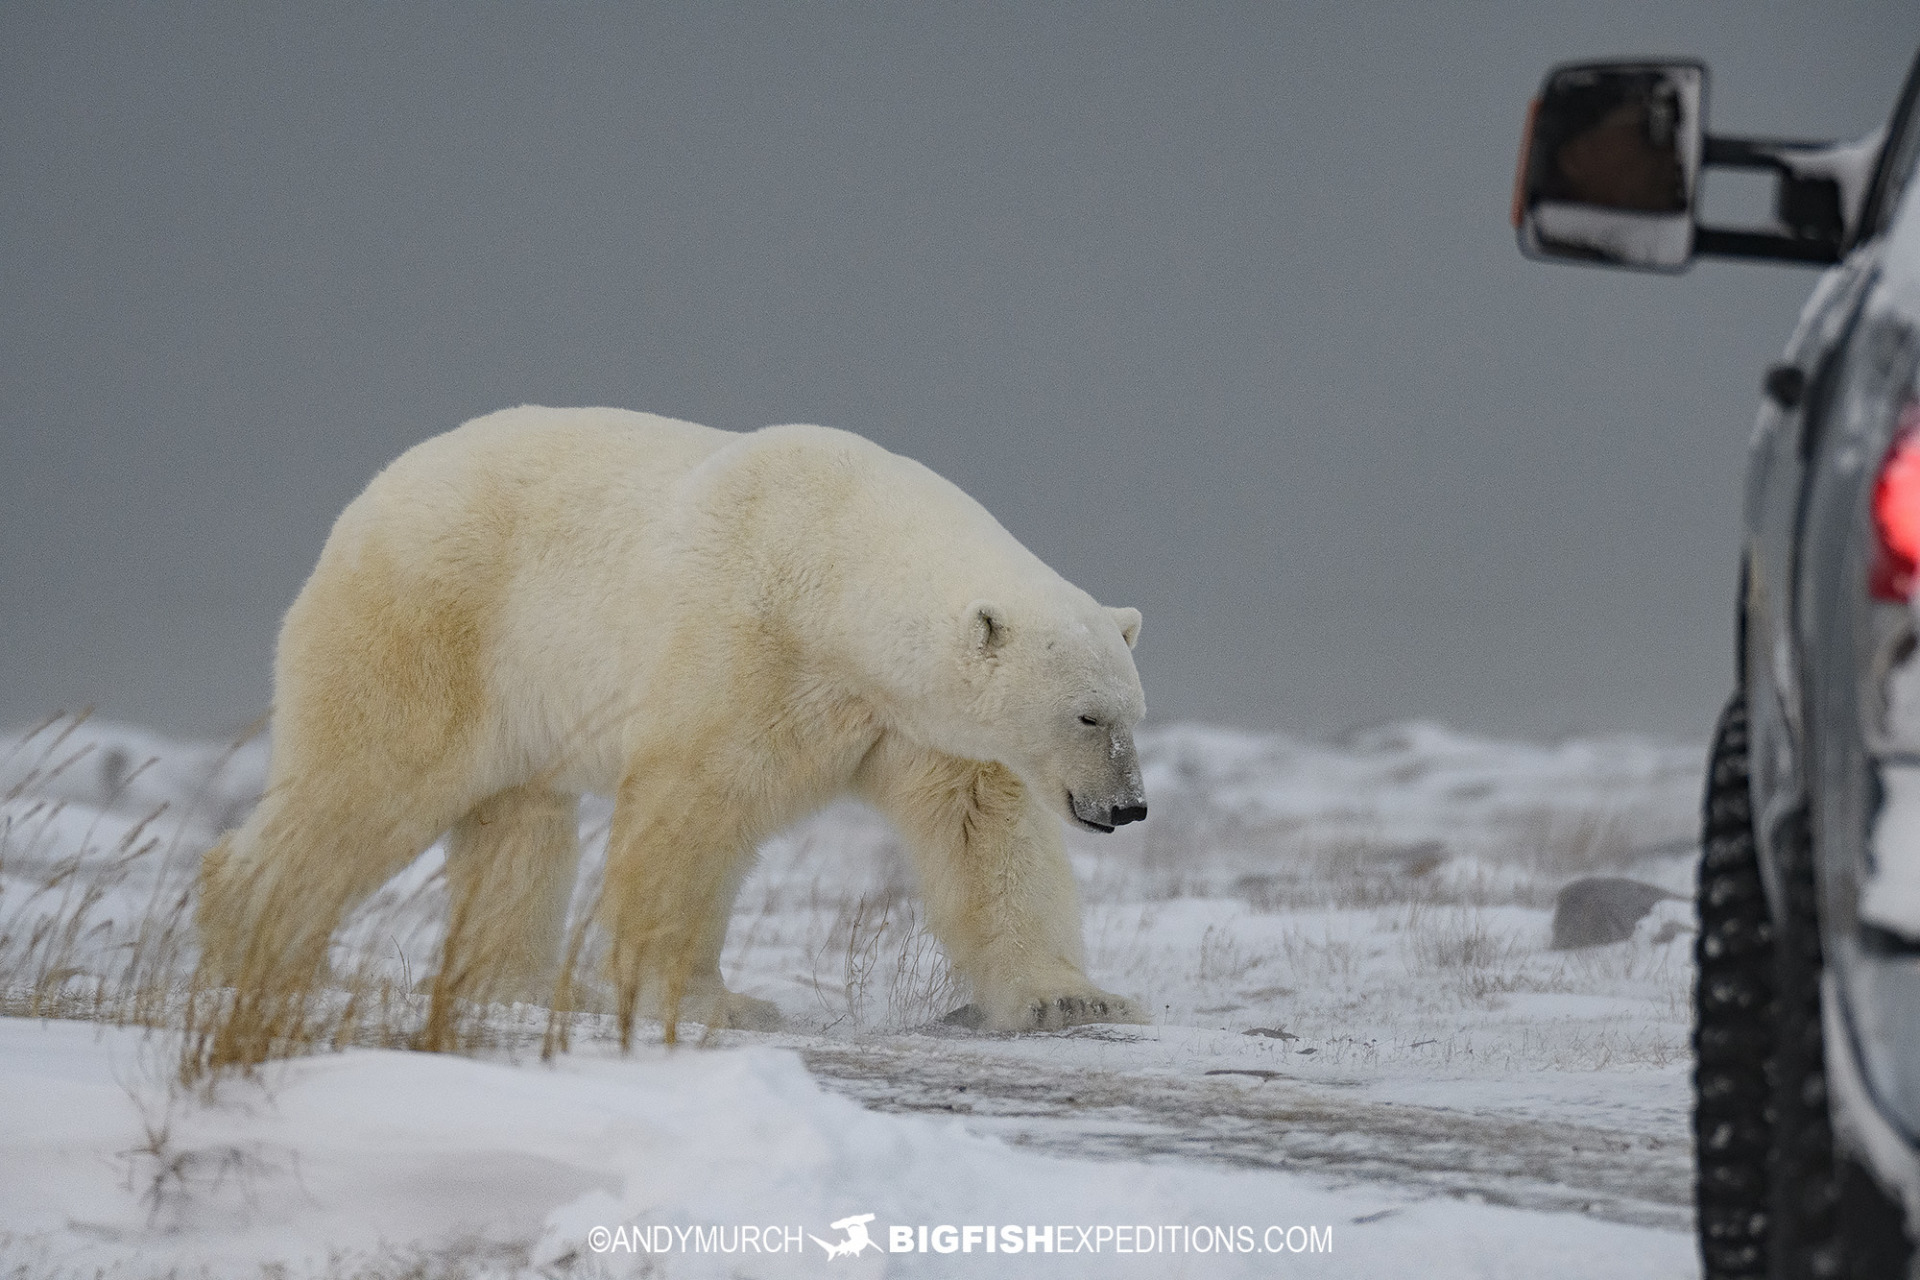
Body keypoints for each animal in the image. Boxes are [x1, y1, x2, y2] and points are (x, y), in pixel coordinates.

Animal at [197, 406, 1149, 1047]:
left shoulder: (914, 721)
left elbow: (983, 835)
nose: (1128, 808)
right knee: (368, 782)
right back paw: (254, 939)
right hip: (432, 628)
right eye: (1085, 713)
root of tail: (366, 501)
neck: (836, 565)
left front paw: (1072, 998)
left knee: (519, 829)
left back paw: (526, 984)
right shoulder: (744, 645)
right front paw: (711, 1001)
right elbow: (692, 812)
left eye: (1133, 712)